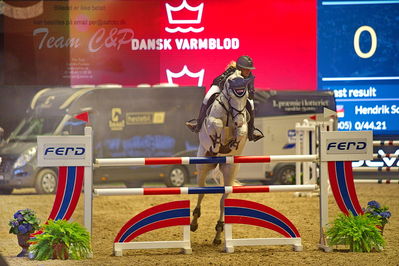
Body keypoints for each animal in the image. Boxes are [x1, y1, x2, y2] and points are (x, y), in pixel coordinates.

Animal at [191, 70, 253, 245]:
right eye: (232, 95)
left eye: (246, 97)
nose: (238, 121)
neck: (230, 113)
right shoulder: (212, 121)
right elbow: (217, 125)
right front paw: (217, 144)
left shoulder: (243, 125)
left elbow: (242, 131)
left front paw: (233, 143)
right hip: (202, 166)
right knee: (201, 192)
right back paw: (194, 222)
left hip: (230, 170)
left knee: (222, 200)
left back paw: (218, 233)